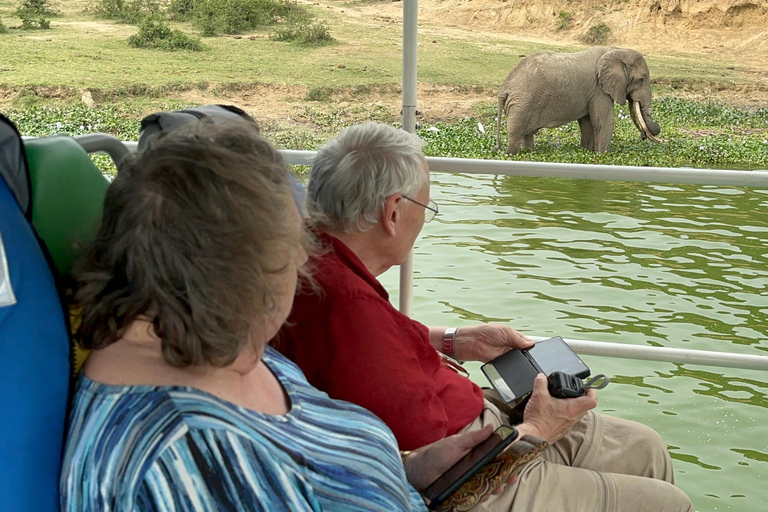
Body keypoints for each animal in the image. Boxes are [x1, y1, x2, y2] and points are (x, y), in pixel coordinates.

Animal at [496, 46, 664, 154]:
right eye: (641, 79)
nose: (643, 136)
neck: (615, 50)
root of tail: (504, 88)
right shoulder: (598, 89)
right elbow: (604, 121)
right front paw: (603, 155)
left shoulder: (591, 92)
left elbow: (587, 123)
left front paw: (587, 151)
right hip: (521, 104)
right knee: (515, 133)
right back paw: (511, 154)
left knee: (527, 134)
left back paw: (530, 151)